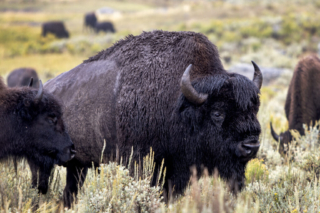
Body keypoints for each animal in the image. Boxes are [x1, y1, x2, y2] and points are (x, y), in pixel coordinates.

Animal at [45, 30, 264, 207]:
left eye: (255, 109)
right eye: (217, 113)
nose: (251, 146)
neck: (179, 103)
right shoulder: (140, 162)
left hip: (77, 166)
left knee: (71, 190)